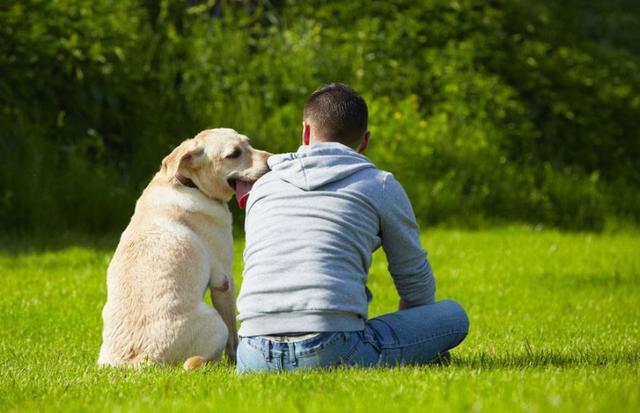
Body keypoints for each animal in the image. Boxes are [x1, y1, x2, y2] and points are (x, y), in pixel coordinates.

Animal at [99, 128, 268, 366]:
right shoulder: (224, 281)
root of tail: (139, 360)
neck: (189, 184)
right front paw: (236, 360)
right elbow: (233, 335)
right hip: (216, 322)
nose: (272, 159)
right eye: (234, 154)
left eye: (249, 143)